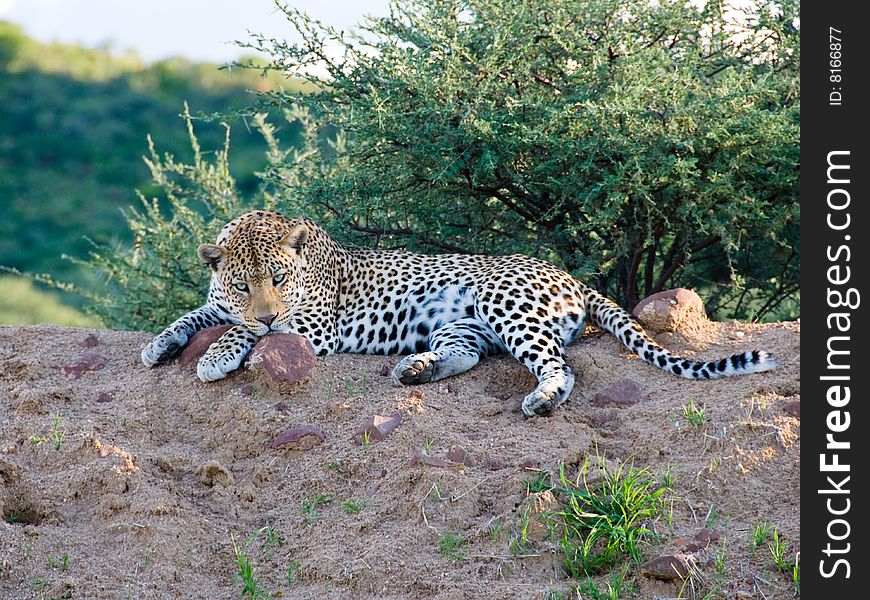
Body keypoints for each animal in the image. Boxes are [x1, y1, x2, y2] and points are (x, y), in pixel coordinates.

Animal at [140, 209, 780, 414]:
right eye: (244, 283)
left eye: (278, 280)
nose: (268, 313)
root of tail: (571, 275)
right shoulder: (217, 302)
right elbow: (196, 315)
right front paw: (158, 344)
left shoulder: (314, 325)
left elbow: (246, 334)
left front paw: (218, 357)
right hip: (462, 324)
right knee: (466, 356)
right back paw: (415, 369)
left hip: (505, 302)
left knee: (560, 366)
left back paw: (542, 400)